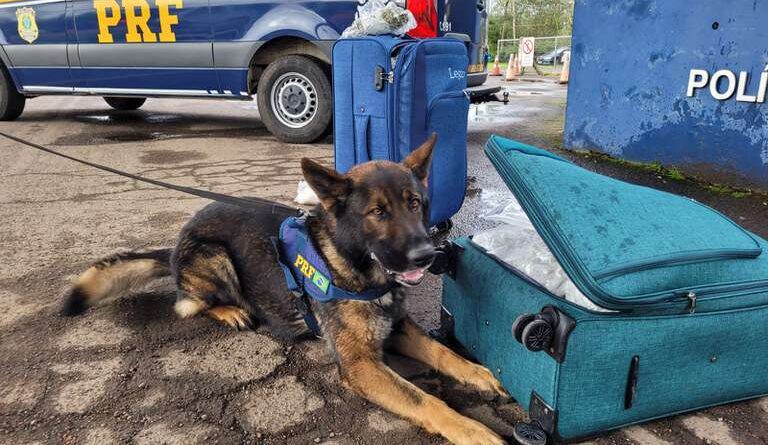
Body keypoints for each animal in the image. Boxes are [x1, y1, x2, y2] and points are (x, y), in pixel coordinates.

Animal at [63, 136, 510, 444]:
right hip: (214, 258)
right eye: (378, 213)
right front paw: (472, 429)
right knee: (188, 304)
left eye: (414, 203)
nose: (426, 255)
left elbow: (443, 352)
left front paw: (480, 374)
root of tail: (173, 247)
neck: (351, 267)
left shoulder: (398, 328)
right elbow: (426, 400)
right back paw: (231, 310)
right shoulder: (360, 366)